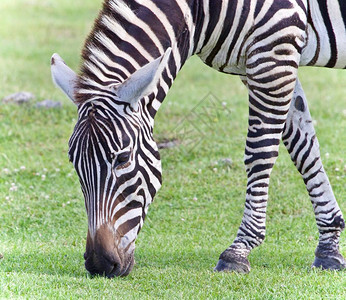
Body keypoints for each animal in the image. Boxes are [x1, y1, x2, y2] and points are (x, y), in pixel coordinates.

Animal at [50, 0, 344, 276]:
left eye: (122, 159)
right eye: (74, 163)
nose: (99, 264)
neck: (201, 11)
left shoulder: (273, 52)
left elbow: (260, 152)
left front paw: (239, 250)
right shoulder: (260, 62)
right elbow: (303, 146)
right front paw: (329, 248)